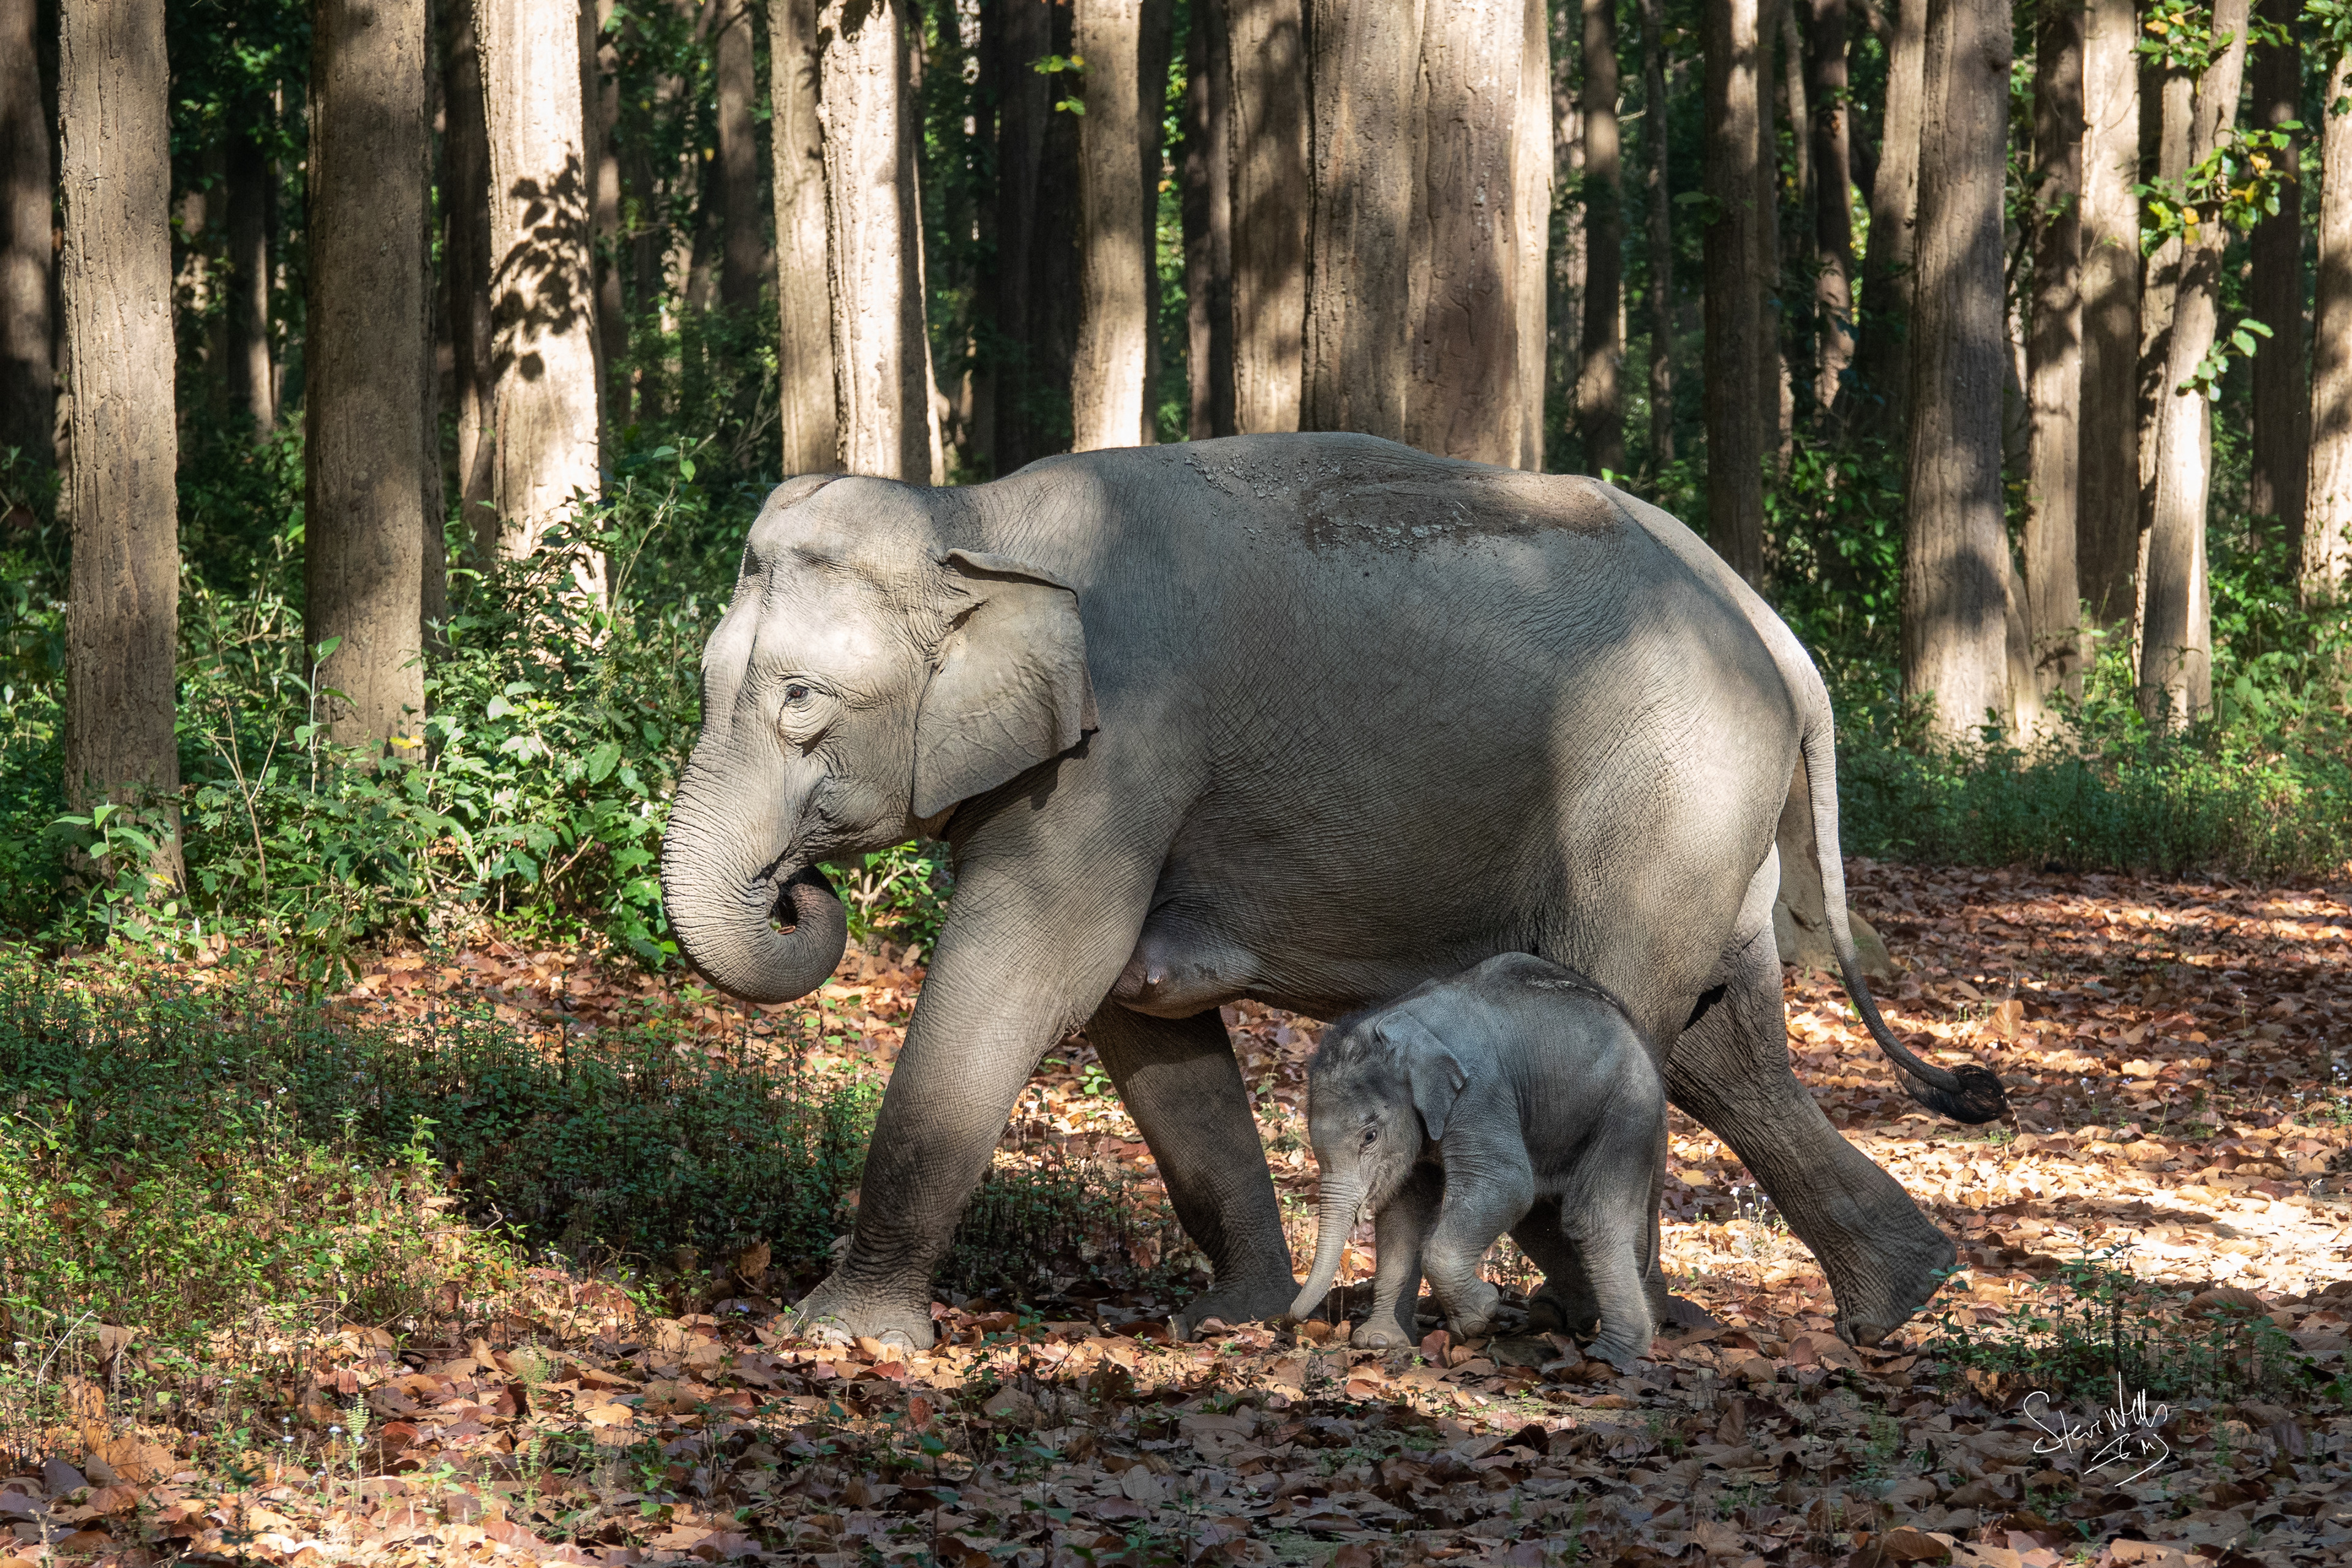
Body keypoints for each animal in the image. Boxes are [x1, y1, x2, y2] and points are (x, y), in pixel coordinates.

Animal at [1288, 954, 1664, 1371]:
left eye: (1369, 1136)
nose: (1292, 1320)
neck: (1398, 1024)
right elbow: (1404, 1214)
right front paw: (1380, 1341)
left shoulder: (1479, 1091)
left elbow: (1506, 1184)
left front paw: (1479, 1314)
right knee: (1536, 1217)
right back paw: (1561, 1318)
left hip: (1625, 1115)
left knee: (1590, 1219)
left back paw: (1611, 1356)